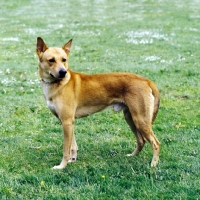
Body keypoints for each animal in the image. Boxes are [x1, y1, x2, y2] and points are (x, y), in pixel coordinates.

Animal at [36, 37, 161, 169]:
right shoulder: (67, 122)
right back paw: (133, 155)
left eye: (64, 60)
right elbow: (73, 146)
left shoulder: (67, 121)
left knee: (156, 143)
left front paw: (61, 166)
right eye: (51, 60)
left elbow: (66, 149)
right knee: (141, 140)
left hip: (140, 120)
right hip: (130, 118)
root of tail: (147, 81)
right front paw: (72, 160)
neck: (57, 84)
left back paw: (153, 164)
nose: (63, 72)